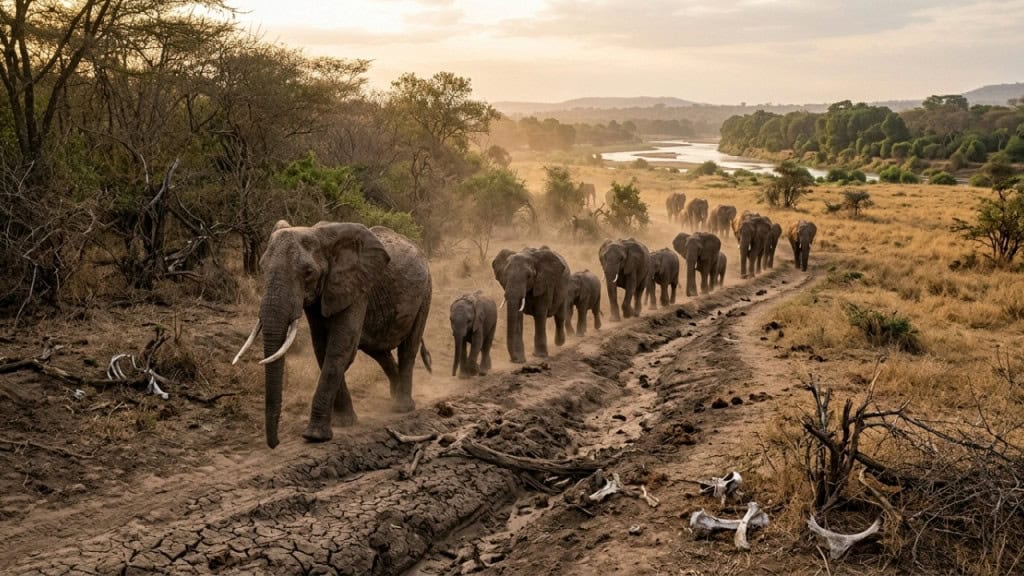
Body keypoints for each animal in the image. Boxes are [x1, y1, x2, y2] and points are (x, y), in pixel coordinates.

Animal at [233, 221, 432, 448]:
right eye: (262, 267)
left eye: (308, 272)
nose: (275, 444)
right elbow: (322, 348)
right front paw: (344, 423)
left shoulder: (356, 288)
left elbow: (339, 349)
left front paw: (315, 436)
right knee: (378, 350)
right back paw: (394, 392)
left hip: (426, 291)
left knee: (408, 347)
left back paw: (402, 407)